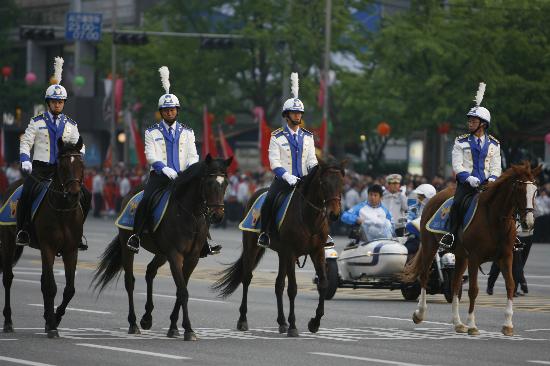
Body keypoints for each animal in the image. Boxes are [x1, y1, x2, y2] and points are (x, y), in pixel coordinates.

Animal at [0, 137, 85, 338]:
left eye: (81, 164)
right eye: (62, 166)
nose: (74, 194)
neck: (63, 210)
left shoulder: (71, 250)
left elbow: (69, 289)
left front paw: (55, 317)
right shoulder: (48, 248)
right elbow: (51, 287)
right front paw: (53, 326)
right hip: (8, 243)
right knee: (8, 278)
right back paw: (8, 322)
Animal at [94, 156, 232, 342]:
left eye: (225, 184)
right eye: (209, 183)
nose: (218, 216)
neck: (190, 215)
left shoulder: (192, 258)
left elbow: (181, 290)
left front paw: (174, 326)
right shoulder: (175, 255)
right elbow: (183, 292)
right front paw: (188, 329)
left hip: (161, 253)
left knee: (150, 272)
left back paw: (147, 317)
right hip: (127, 246)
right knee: (130, 281)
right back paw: (133, 323)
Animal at [215, 160, 348, 338]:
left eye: (341, 184)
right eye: (323, 183)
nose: (334, 214)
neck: (308, 217)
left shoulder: (317, 251)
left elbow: (323, 284)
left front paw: (314, 322)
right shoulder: (291, 253)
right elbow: (292, 288)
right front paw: (293, 326)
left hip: (281, 254)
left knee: (278, 284)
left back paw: (282, 322)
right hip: (252, 246)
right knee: (247, 278)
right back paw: (243, 319)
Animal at [404, 162, 540, 336]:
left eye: (535, 191)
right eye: (520, 189)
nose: (528, 223)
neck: (495, 218)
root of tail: (435, 196)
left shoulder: (506, 256)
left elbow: (510, 284)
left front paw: (508, 324)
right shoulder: (475, 258)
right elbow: (473, 290)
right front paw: (472, 325)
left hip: (461, 256)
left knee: (455, 284)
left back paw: (457, 323)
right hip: (430, 246)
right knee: (424, 276)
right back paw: (420, 314)